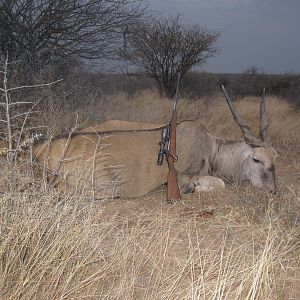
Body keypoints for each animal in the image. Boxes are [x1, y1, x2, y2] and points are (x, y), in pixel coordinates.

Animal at [32, 88, 276, 198]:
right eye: (256, 159)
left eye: (275, 158)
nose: (273, 191)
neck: (212, 147)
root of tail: (42, 149)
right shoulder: (183, 176)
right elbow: (218, 184)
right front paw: (192, 188)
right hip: (105, 188)